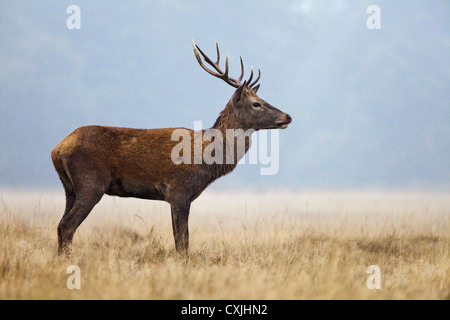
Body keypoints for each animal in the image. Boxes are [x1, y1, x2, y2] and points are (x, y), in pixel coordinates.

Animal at [51, 39, 292, 255]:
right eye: (256, 104)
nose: (287, 116)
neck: (207, 161)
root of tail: (58, 149)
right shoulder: (179, 191)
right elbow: (182, 243)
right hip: (91, 183)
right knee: (67, 226)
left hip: (69, 187)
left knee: (60, 225)